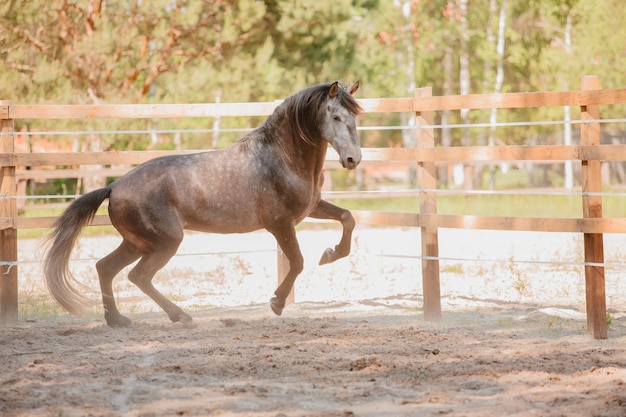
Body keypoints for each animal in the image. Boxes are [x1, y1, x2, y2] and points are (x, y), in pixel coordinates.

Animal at [42, 79, 360, 326]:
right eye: (335, 117)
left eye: (355, 117)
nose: (353, 159)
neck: (280, 158)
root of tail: (113, 186)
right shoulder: (280, 224)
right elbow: (297, 262)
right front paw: (277, 303)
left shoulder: (310, 210)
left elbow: (348, 217)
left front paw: (330, 254)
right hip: (164, 241)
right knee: (138, 276)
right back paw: (180, 316)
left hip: (137, 242)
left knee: (106, 268)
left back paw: (118, 320)